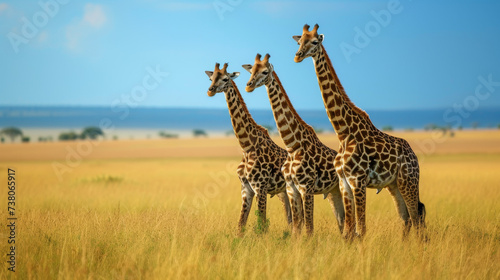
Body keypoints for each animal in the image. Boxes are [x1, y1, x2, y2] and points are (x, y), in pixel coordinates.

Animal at [204, 63, 292, 234]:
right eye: (211, 78)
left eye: (225, 78)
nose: (210, 90)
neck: (247, 146)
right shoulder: (246, 189)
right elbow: (240, 225)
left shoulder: (260, 187)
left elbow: (262, 225)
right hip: (283, 192)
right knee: (293, 218)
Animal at [241, 53, 344, 235]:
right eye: (251, 71)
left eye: (265, 71)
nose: (249, 86)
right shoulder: (290, 189)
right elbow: (297, 225)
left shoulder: (305, 188)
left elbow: (306, 226)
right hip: (333, 192)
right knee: (341, 221)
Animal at [292, 24, 426, 240]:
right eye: (299, 42)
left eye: (314, 41)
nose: (297, 56)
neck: (343, 132)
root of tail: (413, 155)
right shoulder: (344, 182)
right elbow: (348, 231)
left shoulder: (358, 181)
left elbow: (360, 229)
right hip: (394, 185)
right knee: (406, 218)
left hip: (409, 181)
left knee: (416, 217)